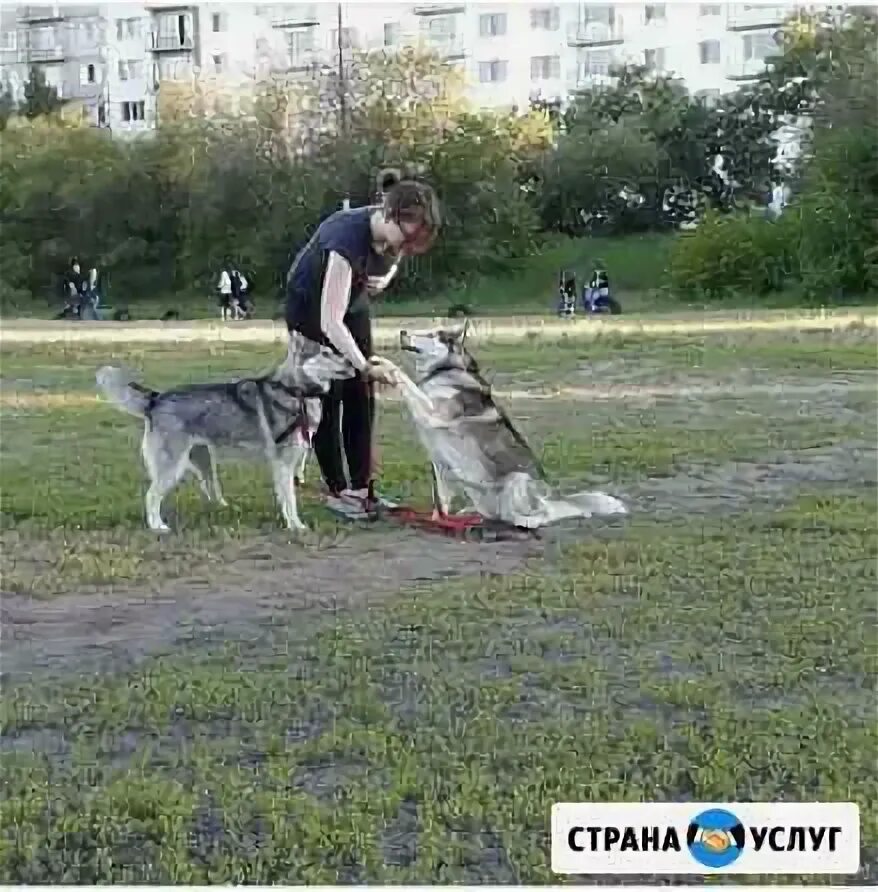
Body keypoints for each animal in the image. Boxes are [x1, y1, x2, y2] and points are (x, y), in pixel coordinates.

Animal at [96, 332, 354, 528]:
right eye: (325, 353)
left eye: (333, 351)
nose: (351, 362)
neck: (295, 391)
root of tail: (156, 398)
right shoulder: (283, 463)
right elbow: (290, 500)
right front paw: (296, 526)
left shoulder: (288, 463)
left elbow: (285, 496)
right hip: (172, 467)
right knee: (151, 496)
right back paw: (157, 526)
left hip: (203, 461)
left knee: (209, 489)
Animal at [388, 322, 628, 528]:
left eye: (430, 334)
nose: (402, 331)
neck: (444, 371)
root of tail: (557, 497)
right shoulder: (440, 467)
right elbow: (440, 506)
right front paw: (439, 521)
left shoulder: (434, 413)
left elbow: (406, 381)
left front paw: (385, 365)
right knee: (498, 514)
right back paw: (472, 514)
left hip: (518, 479)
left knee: (540, 515)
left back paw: (525, 521)